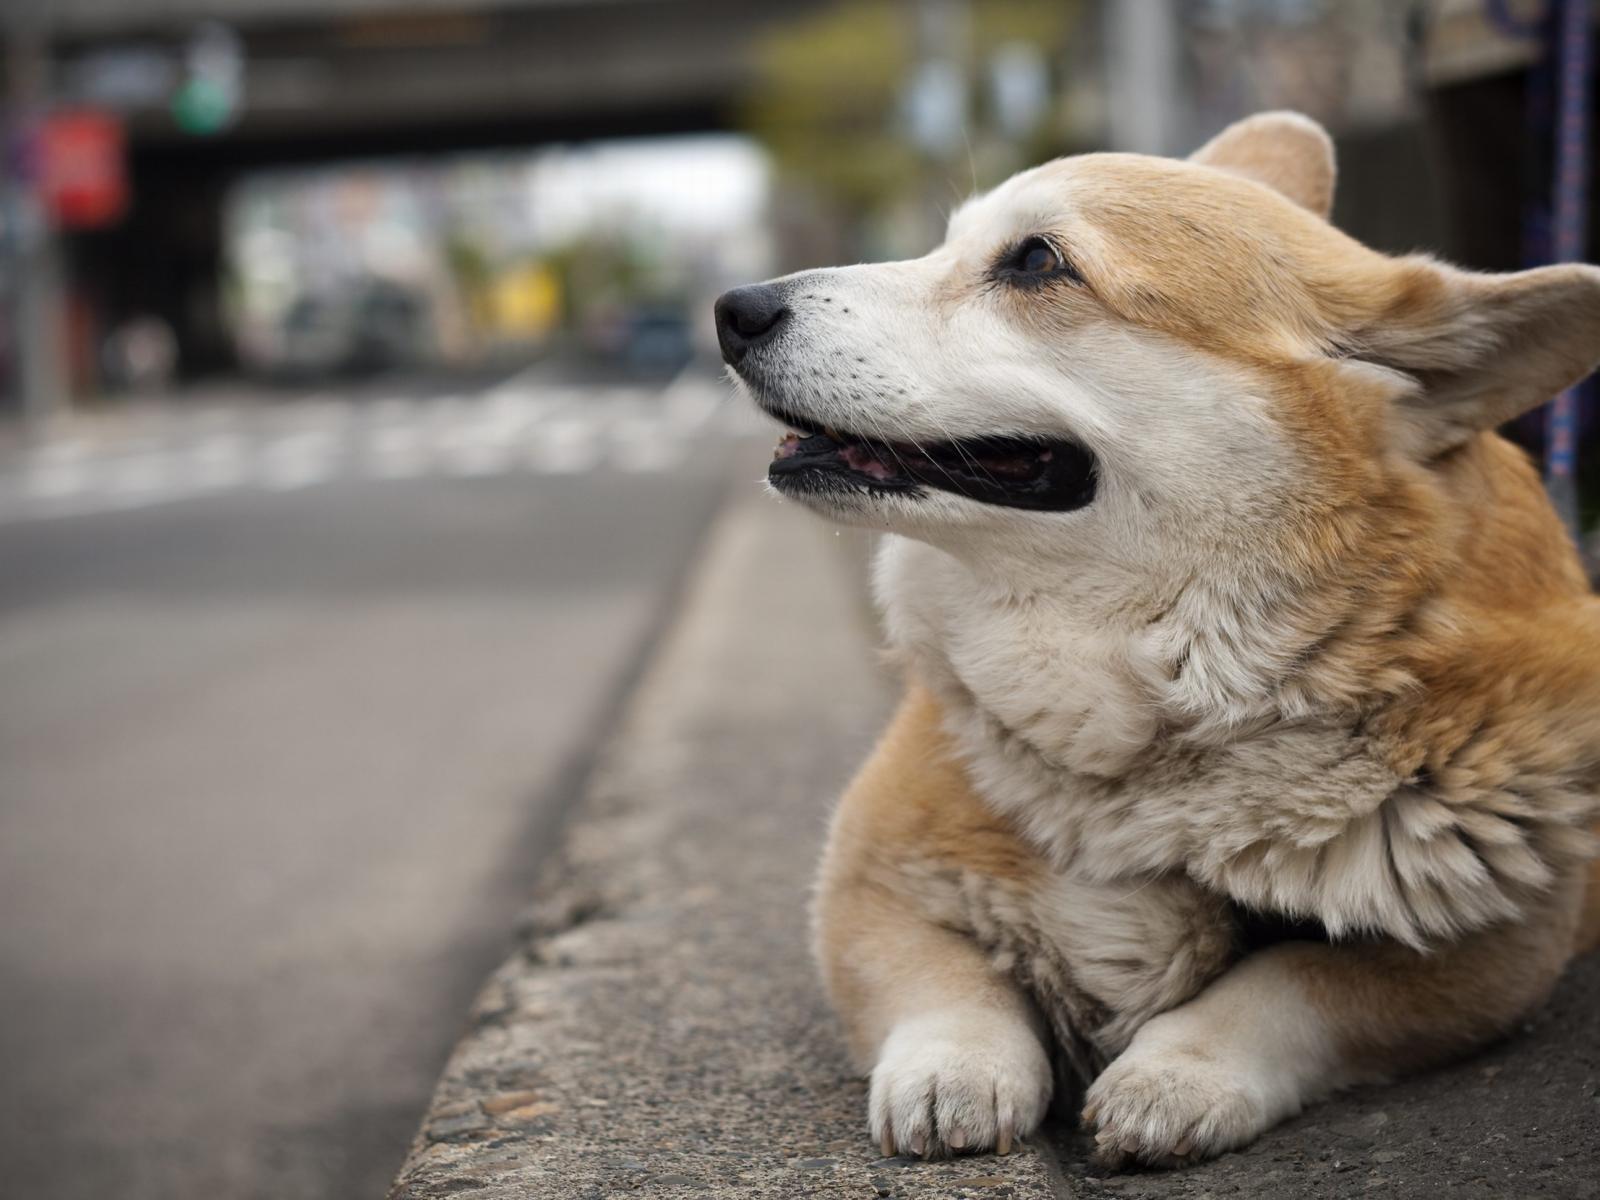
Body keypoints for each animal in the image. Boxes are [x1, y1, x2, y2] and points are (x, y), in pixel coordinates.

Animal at [716, 110, 1600, 1164]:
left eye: (1037, 262)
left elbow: (1300, 980)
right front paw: (953, 1073)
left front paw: (1176, 1075)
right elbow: (949, 986)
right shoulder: (865, 886)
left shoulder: (1498, 948)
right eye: (945, 241)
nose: (732, 310)